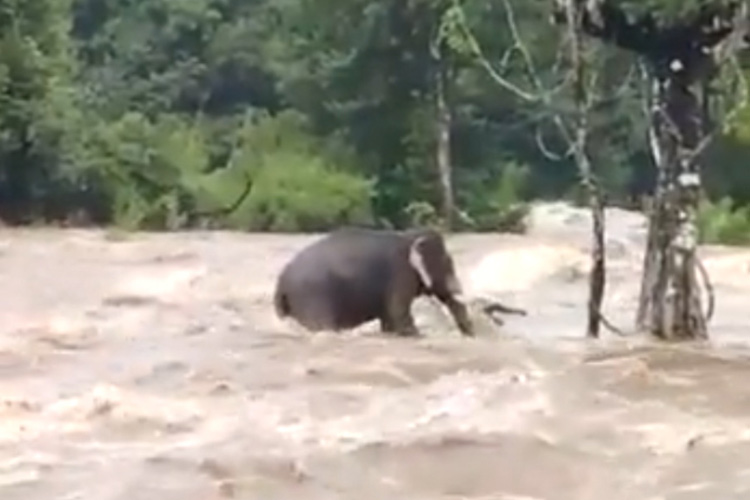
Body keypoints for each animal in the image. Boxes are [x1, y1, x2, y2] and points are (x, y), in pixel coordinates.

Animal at [274, 226, 476, 336]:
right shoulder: (400, 274)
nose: (472, 337)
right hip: (312, 297)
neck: (408, 236)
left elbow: (389, 321)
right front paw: (417, 335)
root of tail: (281, 281)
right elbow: (399, 315)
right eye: (447, 265)